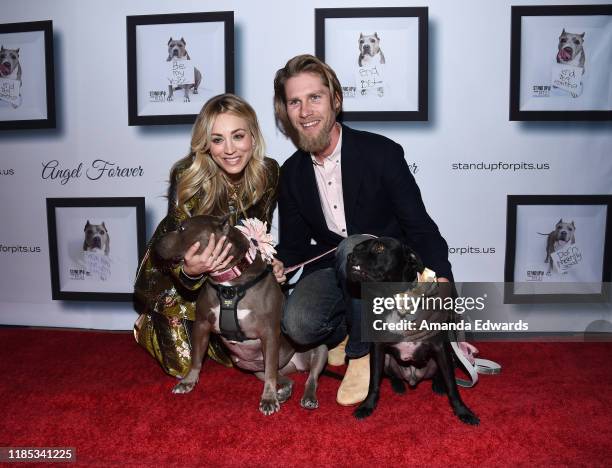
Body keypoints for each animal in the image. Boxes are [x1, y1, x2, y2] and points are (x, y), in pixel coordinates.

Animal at [155, 214, 328, 414]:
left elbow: (271, 372)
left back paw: (307, 397)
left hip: (319, 349)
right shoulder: (202, 325)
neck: (229, 281)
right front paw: (188, 381)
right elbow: (197, 358)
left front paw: (269, 399)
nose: (157, 242)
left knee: (310, 378)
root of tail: (294, 366)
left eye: (182, 229)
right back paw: (284, 392)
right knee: (285, 379)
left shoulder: (269, 334)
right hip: (253, 367)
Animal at [346, 238, 480, 424]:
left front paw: (462, 411)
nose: (350, 256)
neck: (394, 300)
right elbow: (374, 382)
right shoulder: (378, 349)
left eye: (379, 247)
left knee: (441, 375)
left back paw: (438, 385)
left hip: (450, 357)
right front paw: (367, 405)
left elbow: (452, 386)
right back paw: (398, 385)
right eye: (356, 248)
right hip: (388, 360)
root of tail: (413, 379)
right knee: (392, 376)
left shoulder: (441, 348)